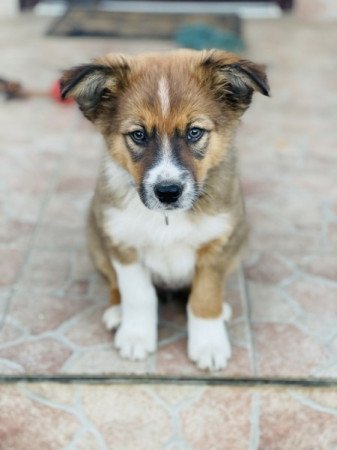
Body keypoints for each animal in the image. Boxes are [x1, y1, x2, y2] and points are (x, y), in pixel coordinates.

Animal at [61, 50, 270, 372]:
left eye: (194, 132)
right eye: (138, 135)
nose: (168, 192)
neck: (167, 219)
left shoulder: (218, 245)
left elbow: (204, 297)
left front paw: (209, 345)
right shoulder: (123, 244)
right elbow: (138, 295)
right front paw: (135, 336)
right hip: (96, 238)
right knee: (113, 282)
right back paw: (117, 312)